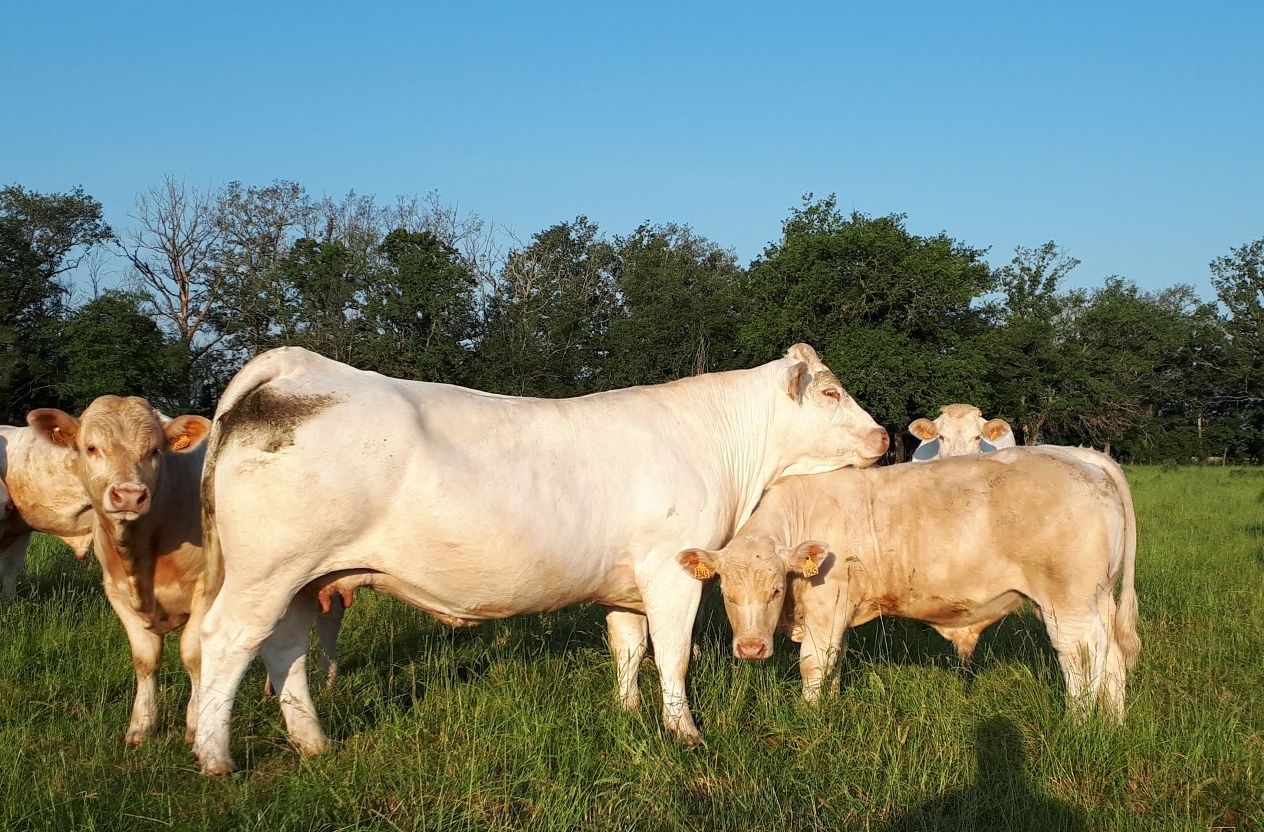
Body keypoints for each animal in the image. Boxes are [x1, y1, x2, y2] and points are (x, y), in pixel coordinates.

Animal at [28, 396, 344, 746]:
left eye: (155, 451)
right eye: (91, 448)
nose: (129, 495)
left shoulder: (208, 588)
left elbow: (194, 656)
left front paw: (194, 726)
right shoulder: (116, 592)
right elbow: (146, 658)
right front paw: (141, 727)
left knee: (328, 620)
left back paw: (325, 682)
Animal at [191, 344, 888, 775]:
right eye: (831, 392)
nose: (884, 435)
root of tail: (302, 369)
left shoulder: (624, 583)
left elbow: (629, 647)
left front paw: (629, 711)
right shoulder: (669, 568)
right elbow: (674, 652)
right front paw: (685, 732)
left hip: (302, 581)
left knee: (283, 650)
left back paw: (312, 743)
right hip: (267, 572)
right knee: (225, 641)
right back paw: (215, 756)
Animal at [678, 446, 1140, 720]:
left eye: (775, 589)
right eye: (726, 592)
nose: (751, 649)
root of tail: (1079, 455)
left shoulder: (827, 605)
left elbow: (814, 662)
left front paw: (811, 717)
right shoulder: (838, 612)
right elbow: (834, 662)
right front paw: (830, 706)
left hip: (1068, 602)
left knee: (1082, 655)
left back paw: (1079, 722)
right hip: (1097, 598)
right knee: (1113, 657)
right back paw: (1112, 722)